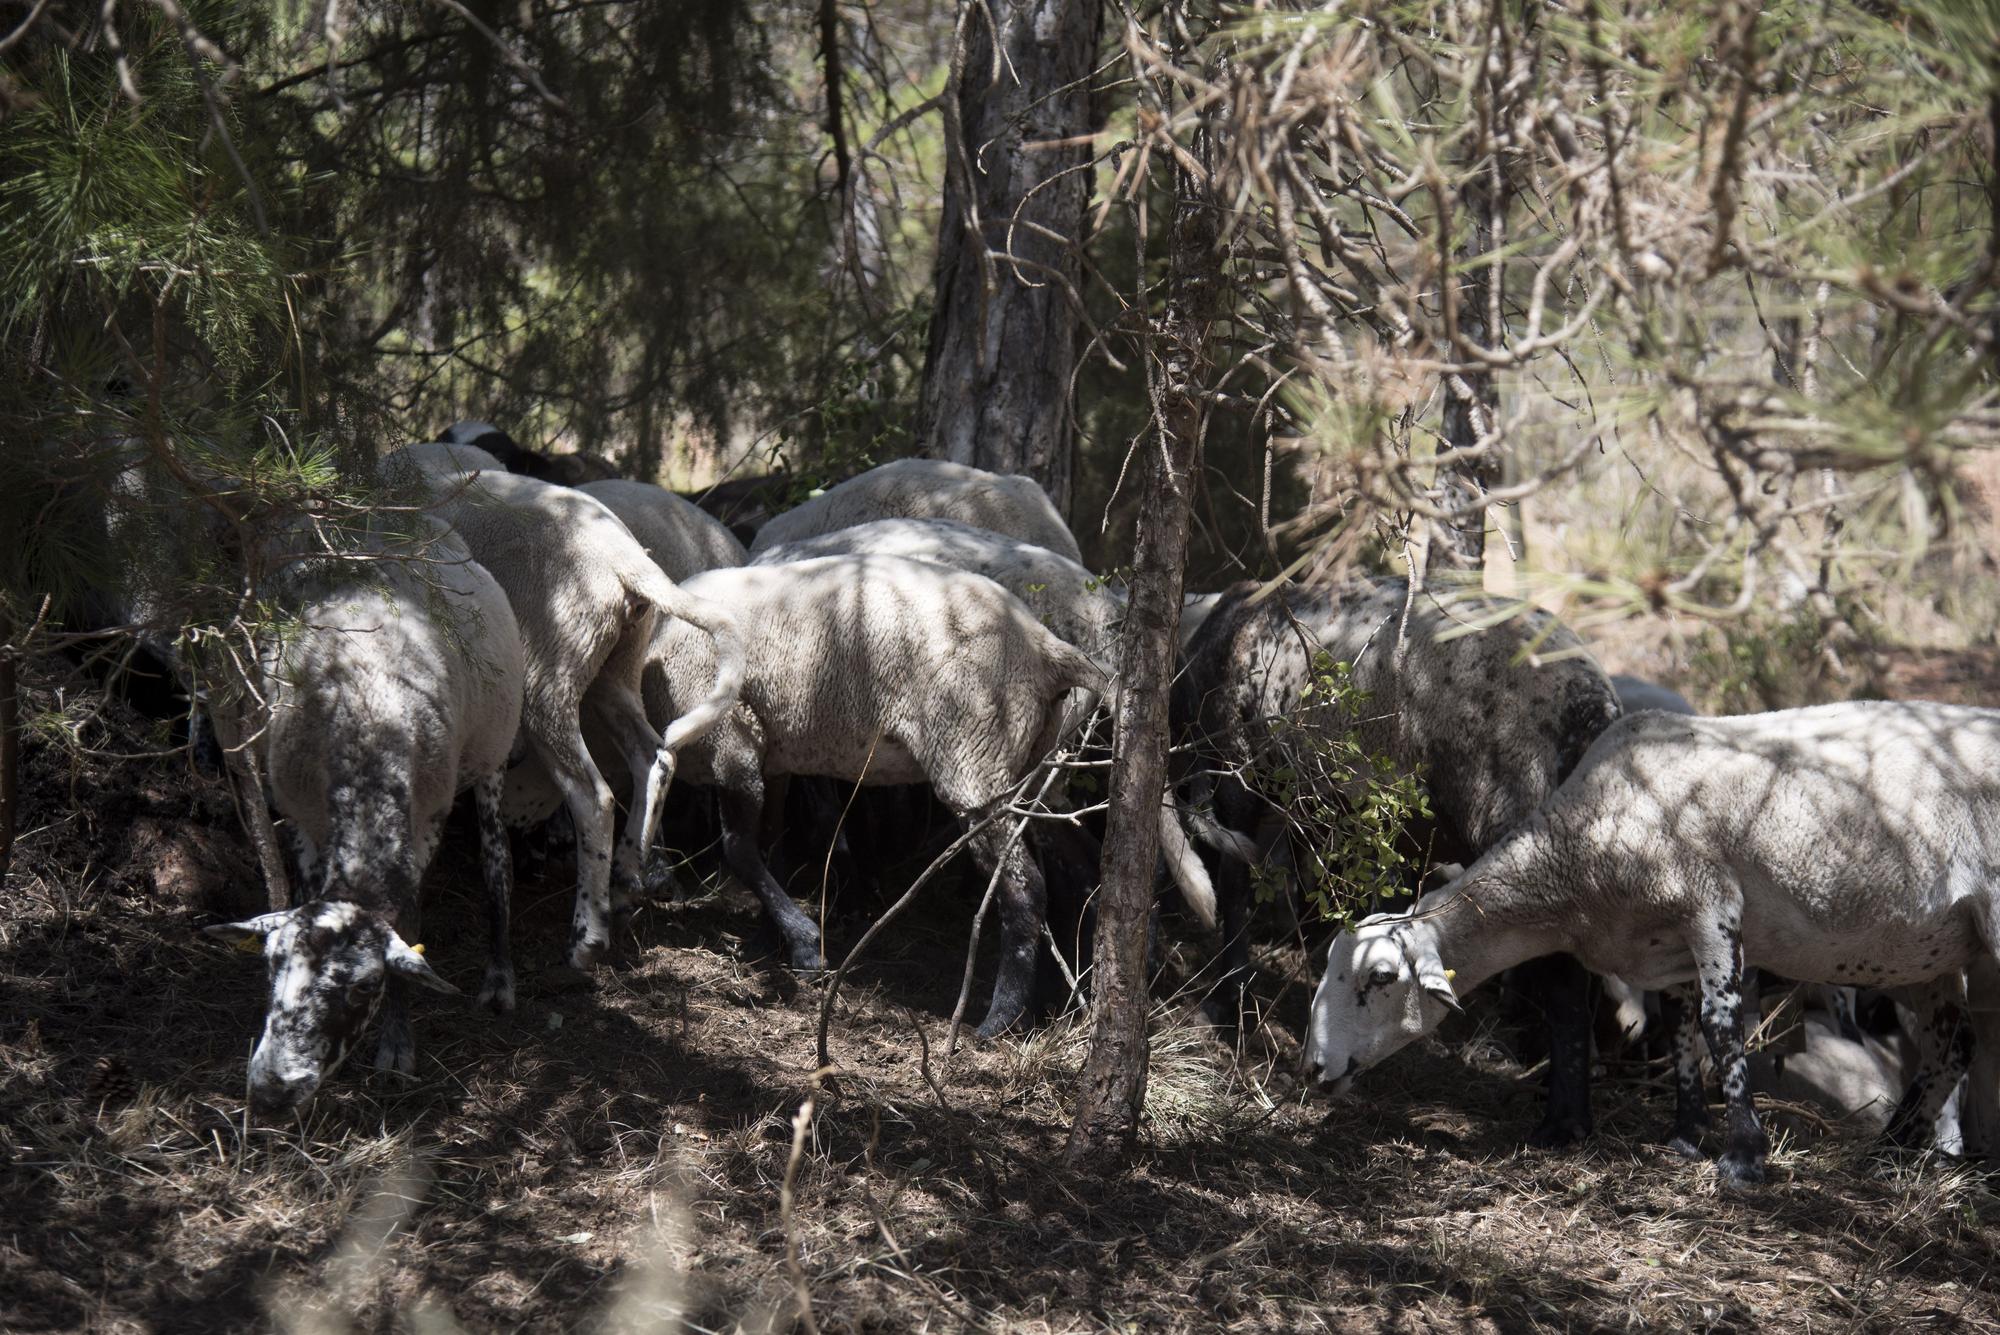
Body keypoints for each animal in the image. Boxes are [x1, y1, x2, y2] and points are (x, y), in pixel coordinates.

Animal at [205, 519, 524, 1119]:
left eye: (361, 988)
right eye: (270, 969)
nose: (271, 1093)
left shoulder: (425, 823)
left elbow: (411, 926)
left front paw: (397, 1047)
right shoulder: (303, 817)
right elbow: (306, 887)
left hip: (493, 751)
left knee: (498, 863)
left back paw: (500, 978)